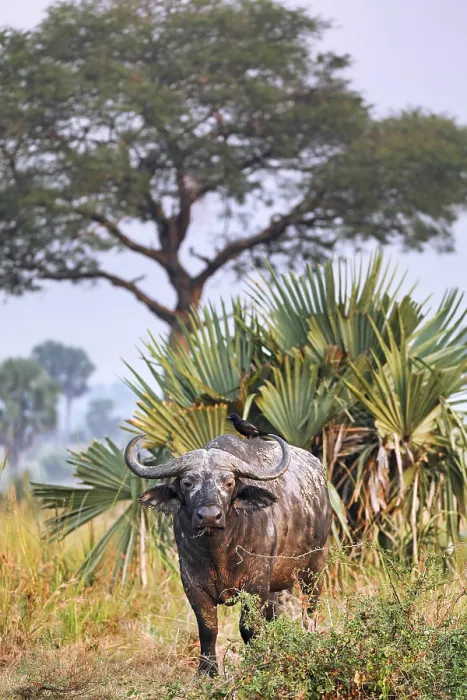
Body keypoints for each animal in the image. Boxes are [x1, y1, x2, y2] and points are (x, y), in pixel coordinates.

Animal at [124, 432, 331, 675]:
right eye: (187, 482)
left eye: (229, 482)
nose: (209, 516)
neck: (219, 551)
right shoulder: (192, 583)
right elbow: (208, 628)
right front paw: (207, 673)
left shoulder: (255, 583)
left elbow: (248, 628)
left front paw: (255, 664)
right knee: (274, 615)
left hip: (315, 567)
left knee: (310, 611)